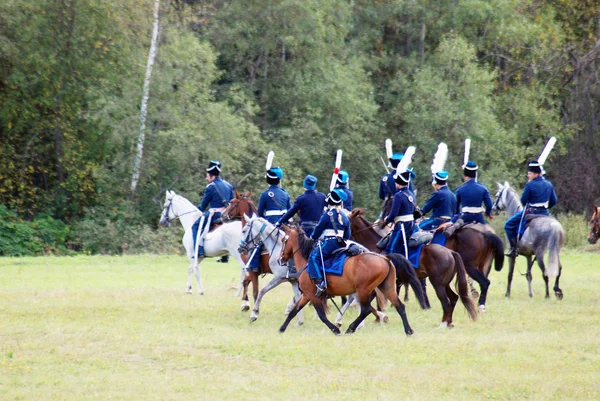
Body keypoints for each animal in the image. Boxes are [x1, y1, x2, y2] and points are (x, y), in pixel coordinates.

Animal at [274, 223, 420, 332]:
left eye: (283, 240)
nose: (280, 259)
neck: (307, 262)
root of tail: (385, 258)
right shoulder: (306, 295)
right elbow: (294, 311)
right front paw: (281, 328)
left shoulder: (312, 295)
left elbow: (322, 315)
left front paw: (335, 329)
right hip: (387, 288)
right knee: (399, 306)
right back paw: (408, 330)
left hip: (363, 290)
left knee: (366, 309)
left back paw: (351, 328)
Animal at [346, 208, 478, 326]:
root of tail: (450, 252)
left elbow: (374, 301)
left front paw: (379, 318)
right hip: (445, 284)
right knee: (454, 298)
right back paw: (449, 323)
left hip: (438, 284)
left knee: (446, 302)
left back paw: (443, 323)